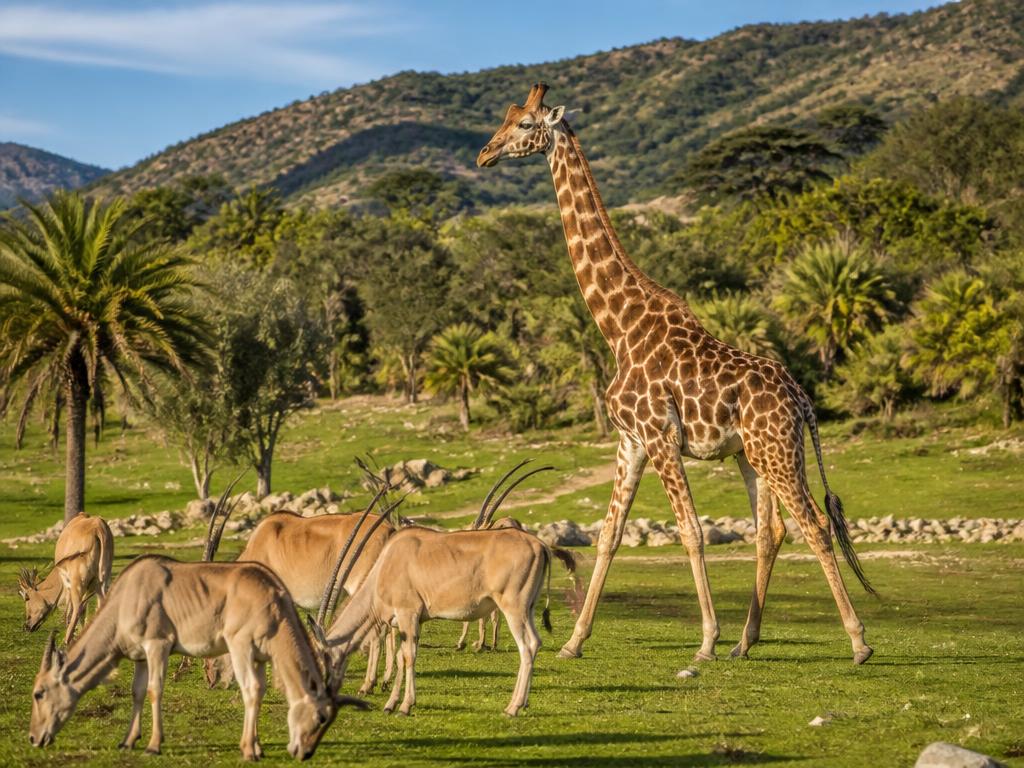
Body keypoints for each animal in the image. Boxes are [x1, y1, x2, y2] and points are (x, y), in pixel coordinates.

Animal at [477, 83, 874, 666]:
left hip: (778, 451)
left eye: (525, 124)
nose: (484, 154)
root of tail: (802, 400)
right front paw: (573, 642)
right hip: (752, 456)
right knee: (773, 531)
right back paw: (745, 642)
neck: (618, 327)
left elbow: (691, 531)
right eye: (506, 119)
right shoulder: (631, 440)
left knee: (815, 525)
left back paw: (857, 640)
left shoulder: (660, 435)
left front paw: (705, 641)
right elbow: (609, 534)